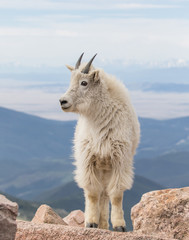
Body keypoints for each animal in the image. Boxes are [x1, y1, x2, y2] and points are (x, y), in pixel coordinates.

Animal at [59, 53, 140, 232]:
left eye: (84, 82)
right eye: (70, 80)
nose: (62, 101)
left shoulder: (119, 161)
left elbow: (116, 195)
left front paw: (119, 225)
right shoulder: (88, 160)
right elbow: (92, 193)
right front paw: (90, 223)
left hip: (106, 170)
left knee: (105, 194)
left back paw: (104, 225)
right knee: (100, 194)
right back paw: (99, 224)